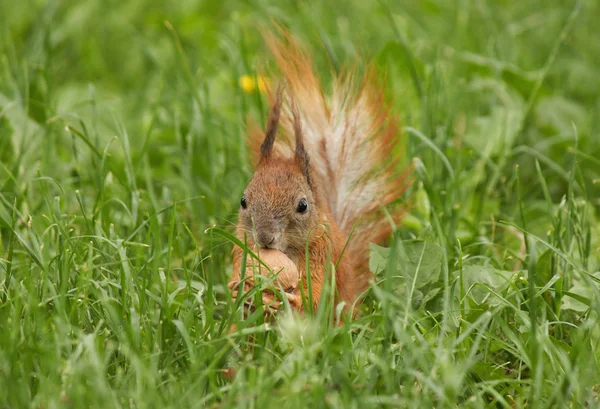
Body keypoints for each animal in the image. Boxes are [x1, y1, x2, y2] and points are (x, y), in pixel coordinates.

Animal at [227, 31, 410, 318]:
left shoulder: (323, 252)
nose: (265, 237)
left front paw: (292, 300)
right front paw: (238, 289)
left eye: (302, 205)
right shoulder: (240, 246)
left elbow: (315, 295)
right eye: (243, 201)